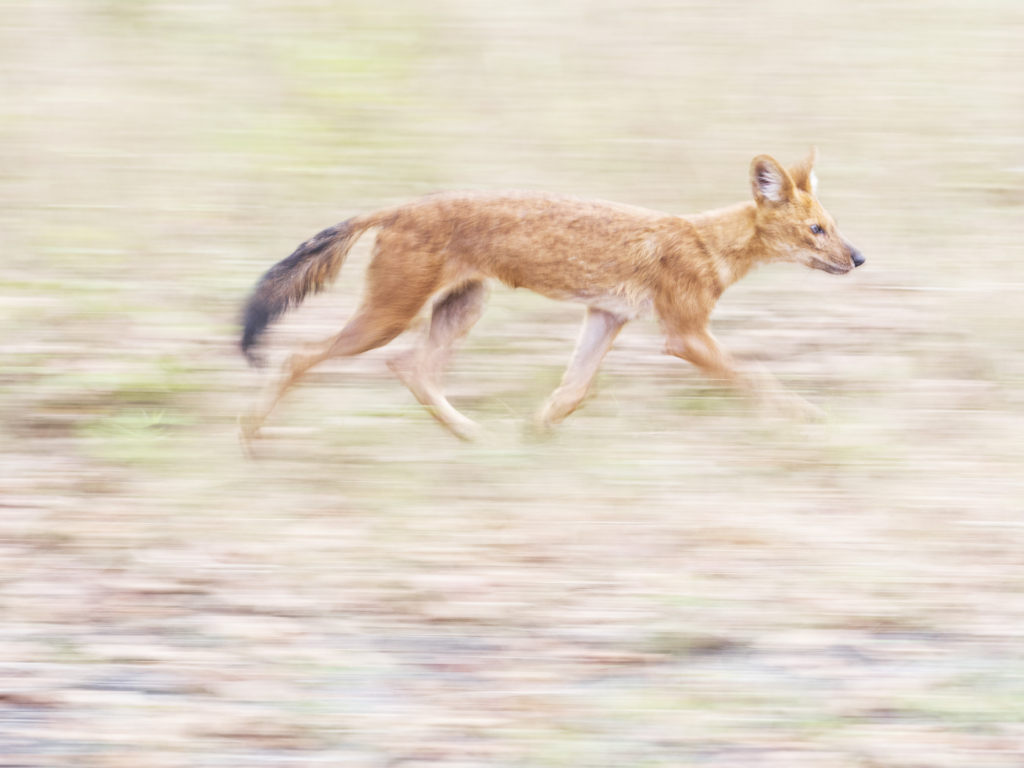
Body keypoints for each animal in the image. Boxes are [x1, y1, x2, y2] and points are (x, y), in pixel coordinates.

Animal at [239, 147, 864, 442]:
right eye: (817, 230)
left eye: (834, 227)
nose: (859, 258)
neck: (709, 242)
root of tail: (397, 205)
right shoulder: (685, 337)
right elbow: (757, 377)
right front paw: (812, 419)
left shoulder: (606, 317)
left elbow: (573, 392)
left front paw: (533, 433)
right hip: (389, 316)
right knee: (299, 356)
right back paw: (252, 438)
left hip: (462, 308)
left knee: (410, 369)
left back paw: (474, 437)